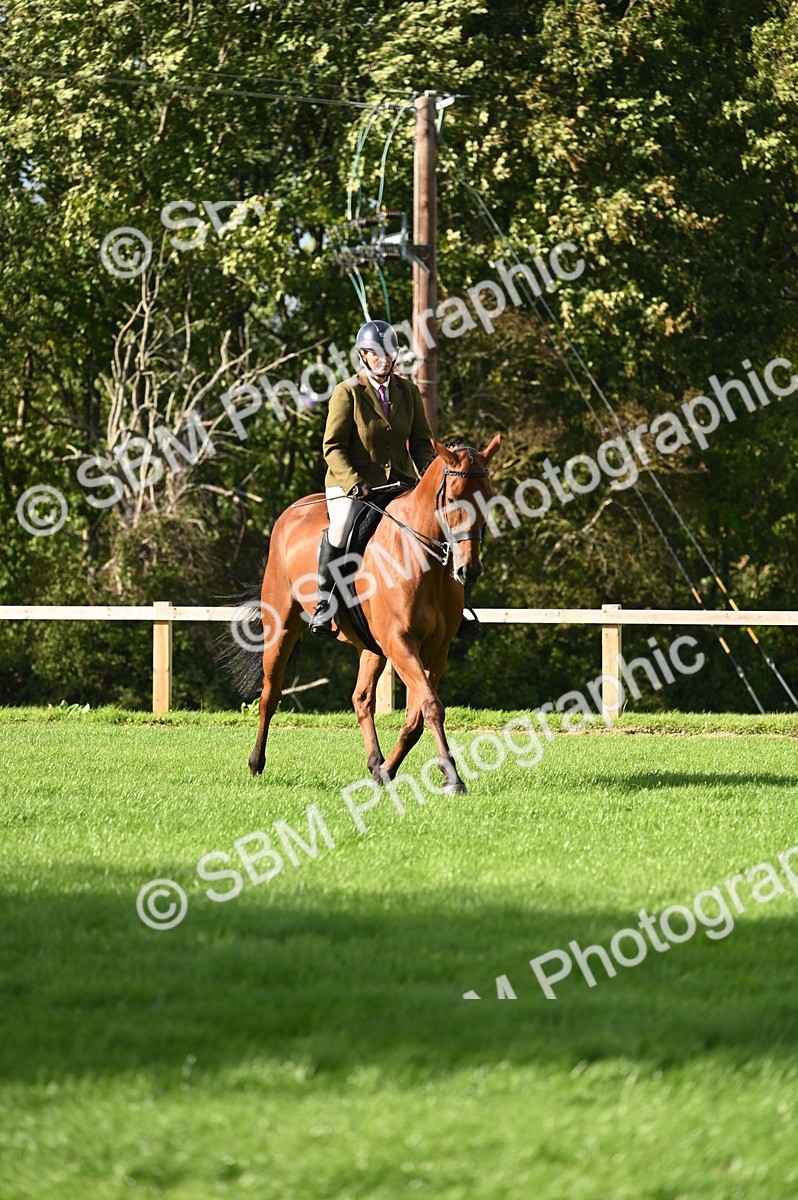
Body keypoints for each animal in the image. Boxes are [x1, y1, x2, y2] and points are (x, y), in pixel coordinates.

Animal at [240, 434, 501, 792]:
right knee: (270, 693)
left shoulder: (437, 649)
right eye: (452, 499)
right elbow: (432, 706)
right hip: (282, 625)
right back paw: (256, 762)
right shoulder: (400, 641)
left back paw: (376, 762)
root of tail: (290, 513)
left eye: (487, 498)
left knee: (362, 699)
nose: (469, 570)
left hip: (371, 645)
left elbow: (417, 715)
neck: (423, 560)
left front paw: (388, 770)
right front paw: (451, 775)